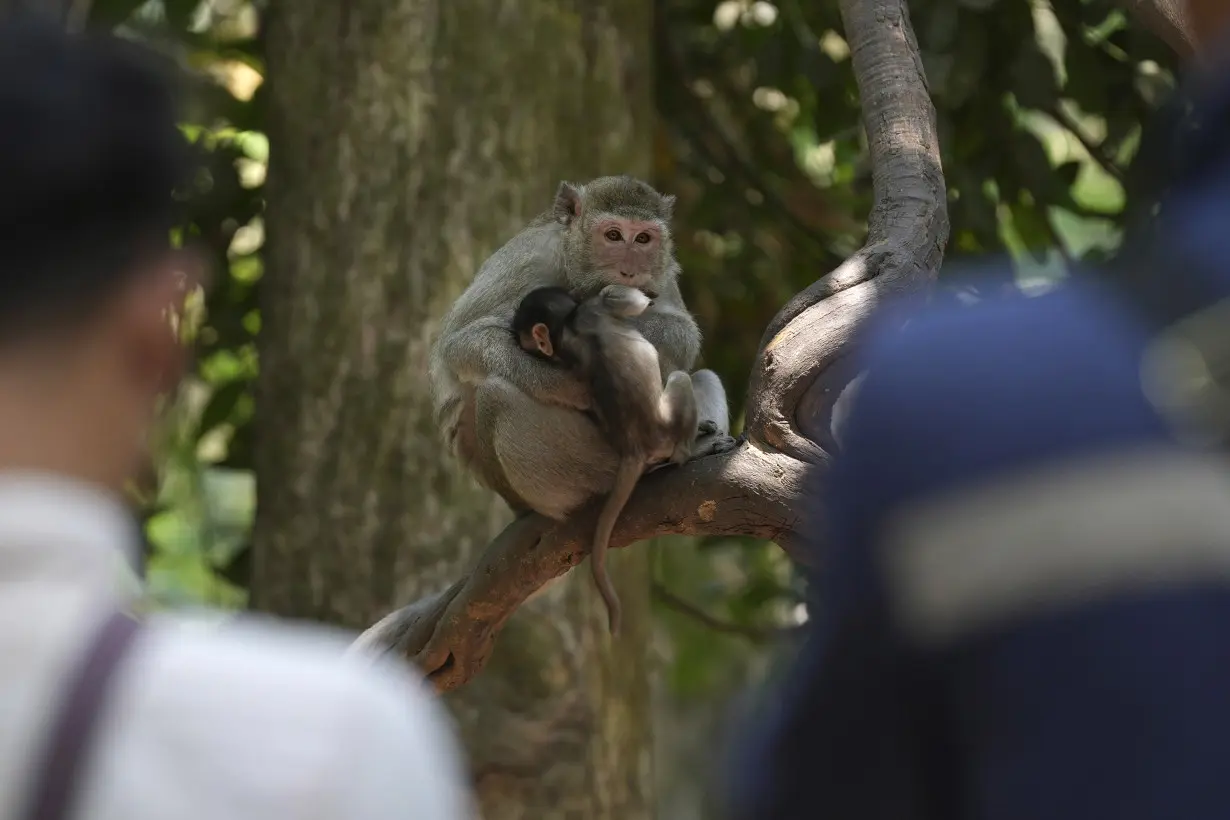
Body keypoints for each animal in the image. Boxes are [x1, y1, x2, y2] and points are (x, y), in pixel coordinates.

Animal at [430, 177, 728, 526]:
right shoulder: (529, 260)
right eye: (613, 235)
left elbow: (682, 331)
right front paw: (572, 386)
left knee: (702, 376)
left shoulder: (662, 269)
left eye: (643, 239)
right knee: (497, 394)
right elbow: (461, 343)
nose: (629, 272)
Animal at [511, 285, 703, 639]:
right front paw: (647, 299)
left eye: (530, 346)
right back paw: (689, 449)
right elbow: (630, 301)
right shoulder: (601, 302)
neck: (568, 326)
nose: (542, 352)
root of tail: (635, 448)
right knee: (680, 379)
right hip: (667, 422)